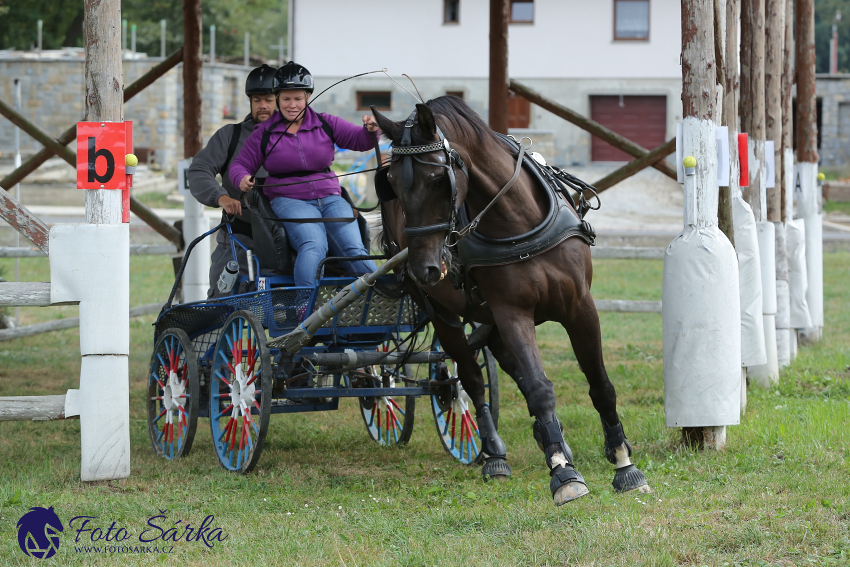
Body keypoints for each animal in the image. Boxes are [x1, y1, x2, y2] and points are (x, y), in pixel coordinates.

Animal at [372, 96, 648, 506]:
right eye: (390, 183)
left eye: (437, 179)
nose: (425, 268)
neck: (520, 223)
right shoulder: (511, 312)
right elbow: (537, 387)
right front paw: (563, 473)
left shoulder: (580, 306)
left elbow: (600, 384)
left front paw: (622, 462)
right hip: (442, 313)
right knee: (469, 377)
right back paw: (494, 453)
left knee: (501, 359)